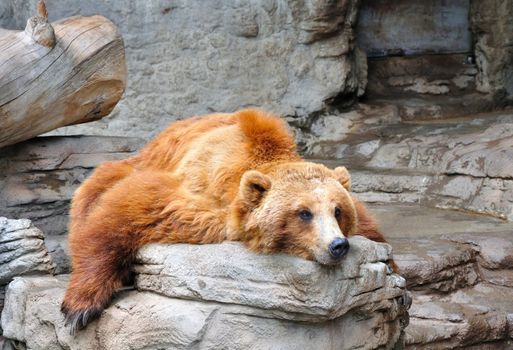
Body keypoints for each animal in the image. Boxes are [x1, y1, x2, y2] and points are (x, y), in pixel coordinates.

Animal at [62, 108, 390, 332]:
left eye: (338, 210)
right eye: (303, 213)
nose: (338, 245)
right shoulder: (197, 194)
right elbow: (125, 210)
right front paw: (79, 307)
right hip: (137, 162)